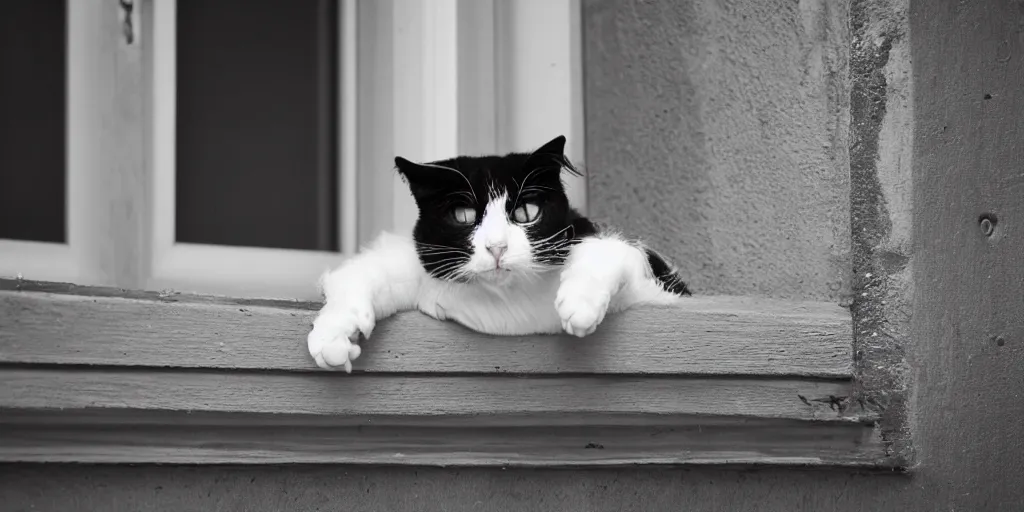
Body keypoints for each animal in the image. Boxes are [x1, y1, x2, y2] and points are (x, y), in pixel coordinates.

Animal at [303, 134, 688, 370]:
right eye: (463, 216)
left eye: (526, 212)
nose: (497, 246)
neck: (505, 305)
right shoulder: (405, 261)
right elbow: (356, 274)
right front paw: (332, 339)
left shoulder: (648, 279)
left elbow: (609, 251)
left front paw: (580, 305)